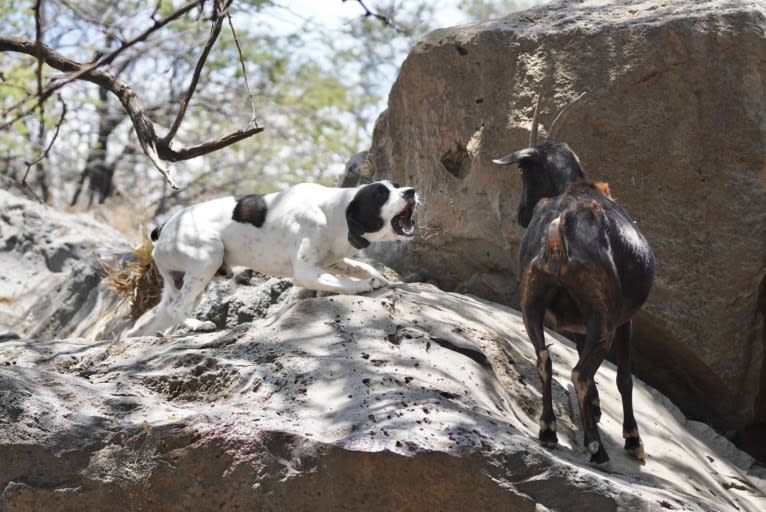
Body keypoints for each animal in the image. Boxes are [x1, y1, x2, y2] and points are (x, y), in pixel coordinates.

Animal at [126, 180, 416, 336]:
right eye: (380, 194)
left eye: (397, 186)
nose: (411, 191)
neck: (334, 211)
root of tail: (163, 227)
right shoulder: (306, 272)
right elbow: (344, 282)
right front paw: (364, 285)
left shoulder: (330, 262)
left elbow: (358, 266)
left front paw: (378, 277)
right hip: (208, 257)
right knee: (178, 309)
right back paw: (199, 325)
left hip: (182, 283)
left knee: (158, 318)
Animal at [496, 141, 656, 468]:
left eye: (523, 172)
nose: (521, 213)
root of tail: (561, 225)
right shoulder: (624, 321)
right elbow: (623, 379)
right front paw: (633, 440)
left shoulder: (577, 323)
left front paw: (592, 408)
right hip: (603, 315)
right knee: (580, 373)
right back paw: (596, 448)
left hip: (531, 303)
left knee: (545, 359)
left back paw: (548, 430)